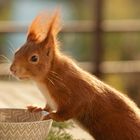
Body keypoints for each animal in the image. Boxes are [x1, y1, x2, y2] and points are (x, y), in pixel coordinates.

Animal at [10, 10, 140, 139]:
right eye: (17, 52)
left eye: (34, 58)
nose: (12, 69)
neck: (48, 76)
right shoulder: (51, 99)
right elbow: (47, 107)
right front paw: (37, 108)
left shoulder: (77, 91)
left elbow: (70, 110)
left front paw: (52, 116)